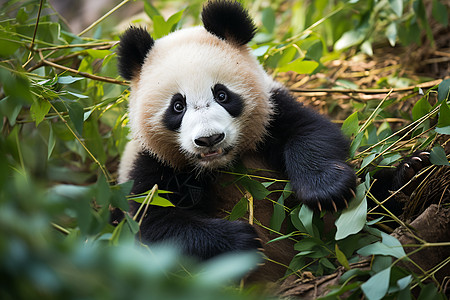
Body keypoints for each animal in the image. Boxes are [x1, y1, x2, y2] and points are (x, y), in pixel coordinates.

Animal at [118, 0, 356, 278]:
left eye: (222, 94)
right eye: (178, 106)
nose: (210, 139)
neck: (222, 166)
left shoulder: (273, 111)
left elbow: (311, 132)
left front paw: (326, 190)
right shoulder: (149, 163)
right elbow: (156, 225)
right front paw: (241, 241)